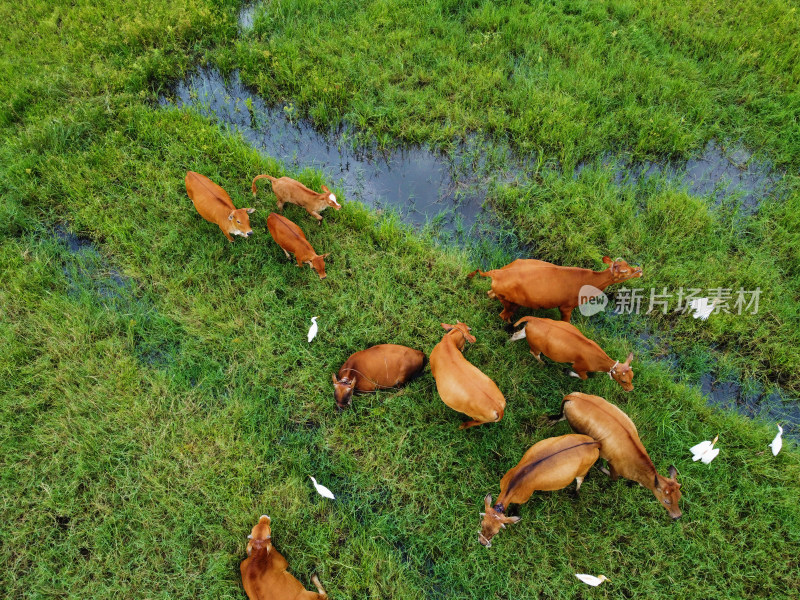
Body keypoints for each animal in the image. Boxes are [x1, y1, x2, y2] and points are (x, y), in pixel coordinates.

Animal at [468, 256, 644, 324]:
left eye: (627, 264)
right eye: (625, 272)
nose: (639, 270)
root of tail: (497, 272)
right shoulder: (566, 307)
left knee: (490, 294)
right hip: (512, 303)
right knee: (504, 315)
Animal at [552, 392, 684, 516]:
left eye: (679, 496)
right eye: (667, 501)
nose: (677, 516)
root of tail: (573, 396)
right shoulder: (613, 465)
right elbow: (613, 476)